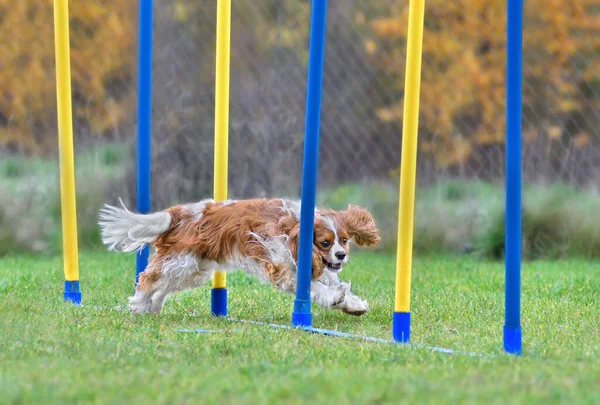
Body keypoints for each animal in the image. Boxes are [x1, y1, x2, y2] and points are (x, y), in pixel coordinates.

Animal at [98, 197, 380, 314]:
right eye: (324, 243)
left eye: (345, 240)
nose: (341, 255)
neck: (293, 226)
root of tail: (179, 213)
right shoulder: (284, 269)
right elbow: (315, 287)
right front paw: (334, 298)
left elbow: (334, 283)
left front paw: (352, 305)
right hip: (182, 261)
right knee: (148, 278)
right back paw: (138, 305)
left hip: (195, 269)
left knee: (162, 287)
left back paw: (154, 308)